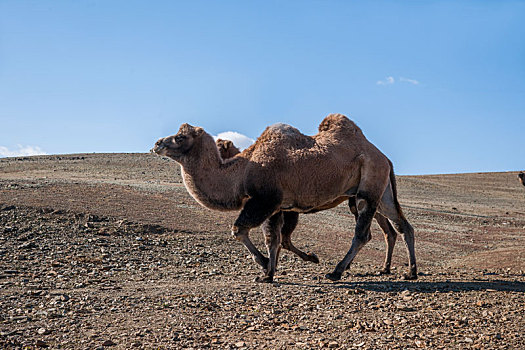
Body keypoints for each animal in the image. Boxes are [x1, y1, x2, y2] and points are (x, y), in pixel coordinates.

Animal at [152, 113, 418, 284]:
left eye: (180, 137)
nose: (157, 143)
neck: (244, 168)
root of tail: (384, 157)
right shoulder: (277, 206)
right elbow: (275, 239)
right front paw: (269, 272)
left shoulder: (265, 200)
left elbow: (241, 231)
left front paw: (264, 267)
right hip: (381, 191)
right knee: (402, 225)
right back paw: (411, 272)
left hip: (367, 190)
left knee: (364, 233)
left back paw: (336, 272)